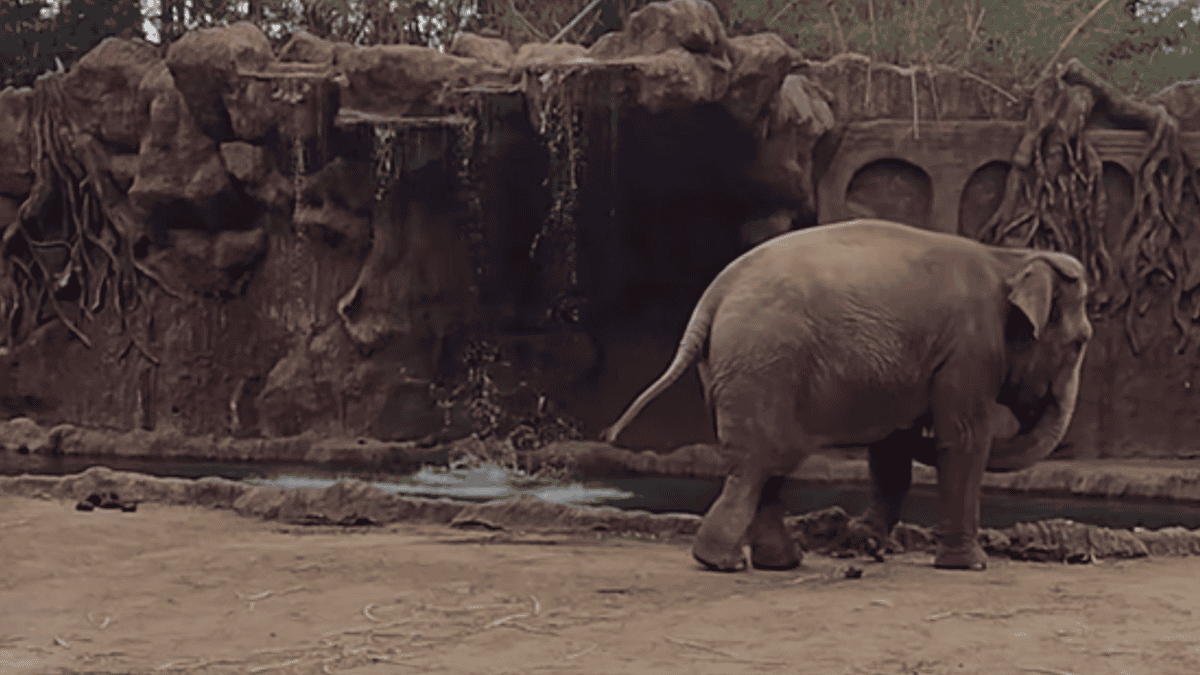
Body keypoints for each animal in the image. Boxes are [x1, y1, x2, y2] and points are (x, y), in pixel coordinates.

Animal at [601, 219, 1091, 572]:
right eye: (1080, 342)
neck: (1008, 259)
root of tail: (713, 295)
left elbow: (893, 450)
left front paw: (867, 543)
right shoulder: (970, 350)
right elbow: (965, 438)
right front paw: (970, 566)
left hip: (734, 369)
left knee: (766, 464)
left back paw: (776, 563)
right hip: (764, 366)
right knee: (762, 462)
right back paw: (724, 563)